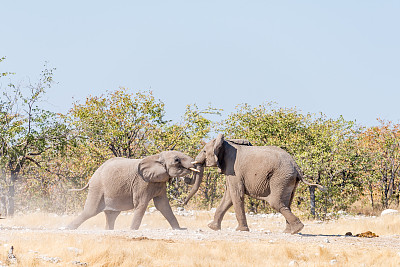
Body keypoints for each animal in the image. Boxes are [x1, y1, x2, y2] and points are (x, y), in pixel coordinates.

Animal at [69, 152, 202, 231]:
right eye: (177, 160)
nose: (187, 178)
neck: (157, 157)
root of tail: (92, 177)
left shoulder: (158, 181)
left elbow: (163, 205)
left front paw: (179, 229)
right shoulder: (142, 182)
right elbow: (141, 204)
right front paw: (132, 230)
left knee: (112, 214)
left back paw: (109, 230)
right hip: (97, 186)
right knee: (90, 211)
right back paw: (67, 228)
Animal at [184, 134, 324, 234]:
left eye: (203, 151)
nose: (182, 203)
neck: (226, 142)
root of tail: (296, 165)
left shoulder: (234, 169)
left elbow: (236, 194)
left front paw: (241, 230)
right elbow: (228, 196)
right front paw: (212, 227)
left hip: (280, 177)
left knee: (276, 202)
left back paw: (297, 229)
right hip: (289, 180)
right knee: (287, 203)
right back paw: (289, 231)